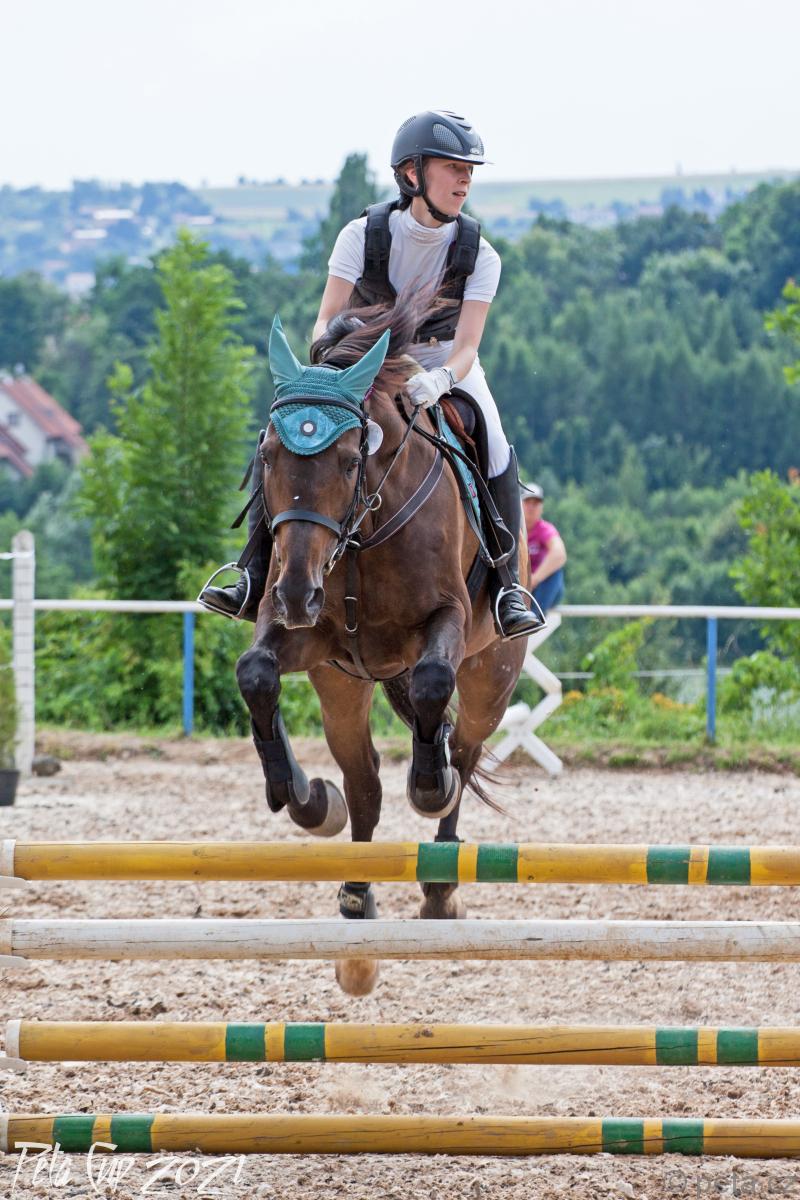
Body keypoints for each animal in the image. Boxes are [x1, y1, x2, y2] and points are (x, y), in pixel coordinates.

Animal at [235, 293, 528, 995]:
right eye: (267, 457)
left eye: (349, 460)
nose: (297, 591)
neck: (363, 531)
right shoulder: (305, 637)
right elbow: (255, 671)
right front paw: (301, 796)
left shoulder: (447, 622)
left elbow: (431, 686)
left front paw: (428, 784)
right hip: (342, 684)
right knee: (363, 782)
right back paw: (351, 889)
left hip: (492, 674)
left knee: (466, 749)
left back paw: (441, 880)